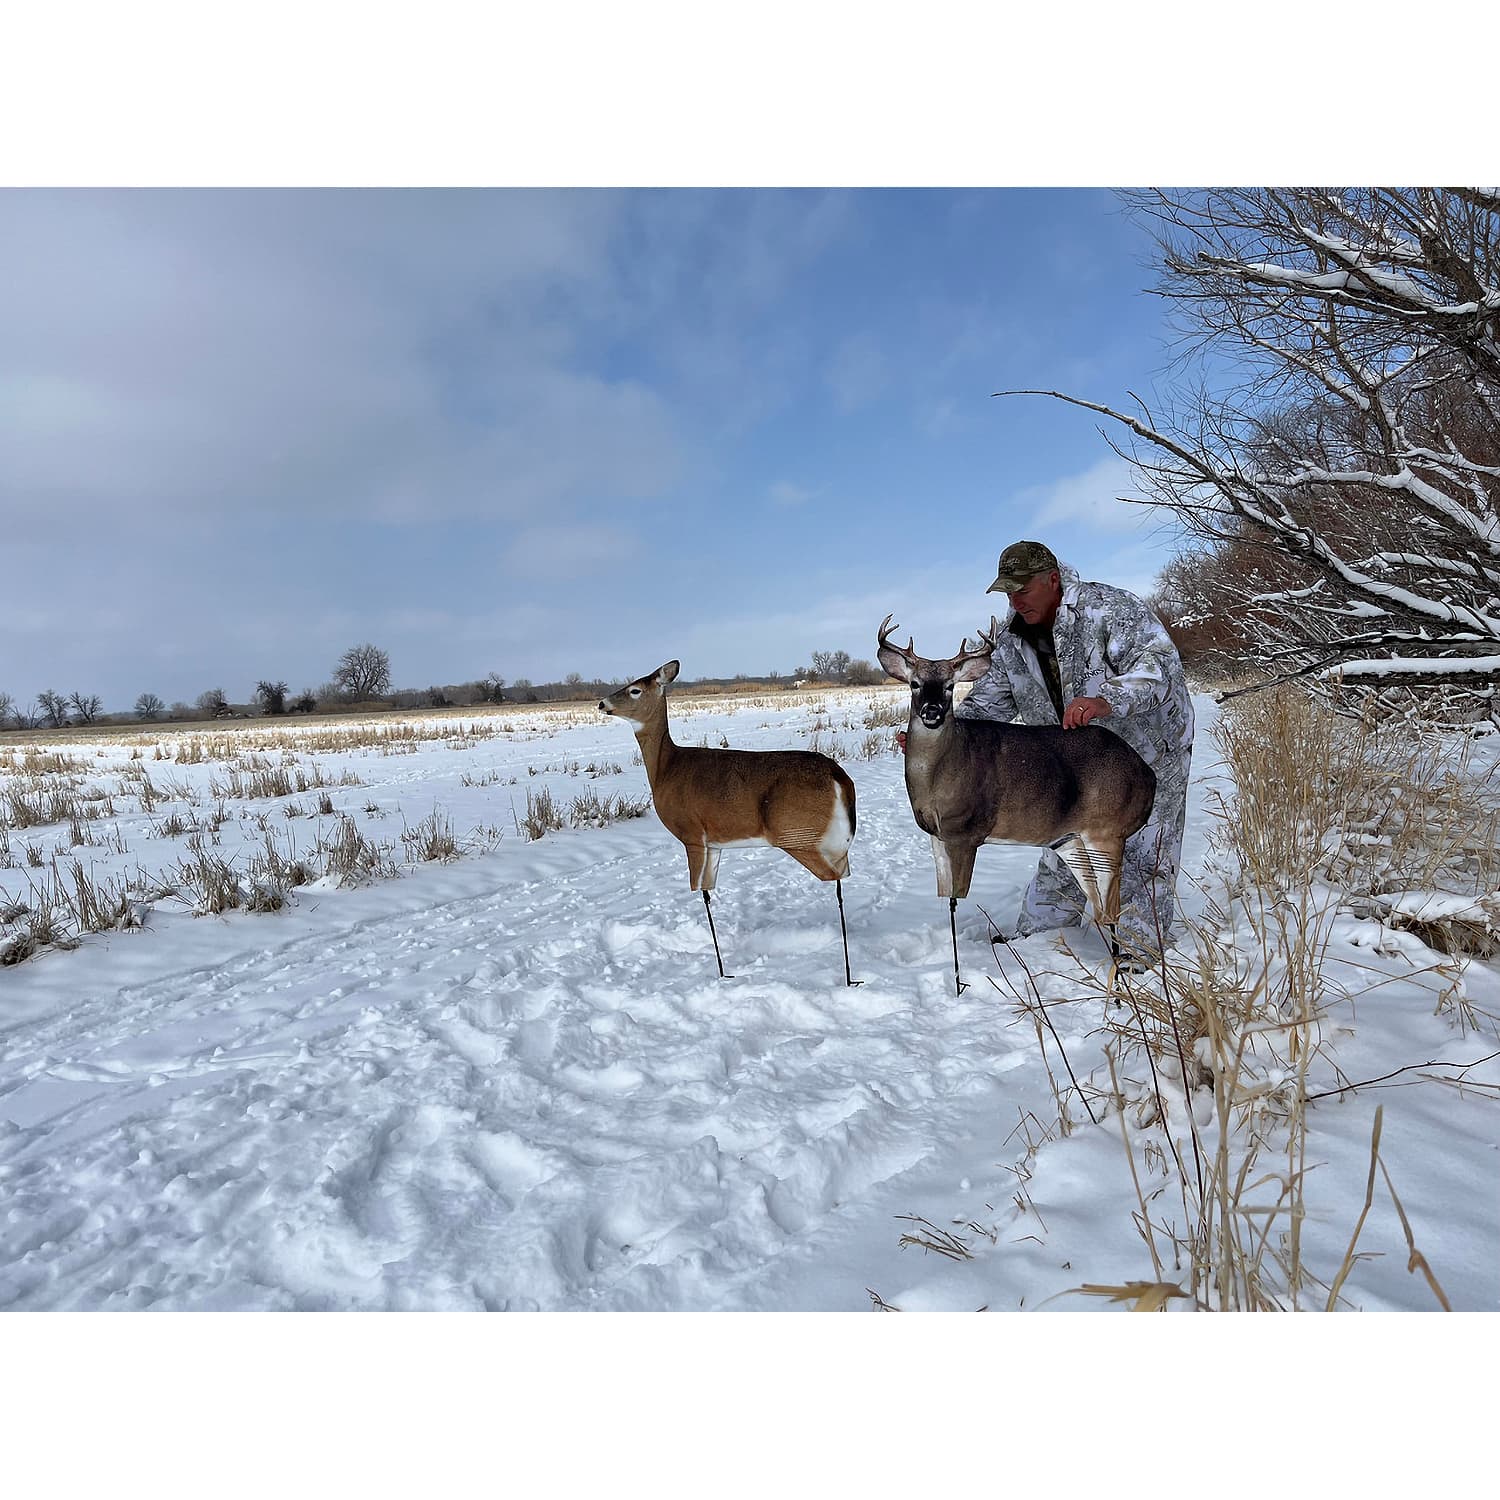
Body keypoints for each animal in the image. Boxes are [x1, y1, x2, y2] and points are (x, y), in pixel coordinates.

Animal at [598, 660, 860, 985]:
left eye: (635, 690)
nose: (602, 703)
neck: (666, 770)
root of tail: (841, 778)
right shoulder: (715, 843)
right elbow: (708, 889)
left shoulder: (692, 833)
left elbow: (699, 891)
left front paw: (721, 971)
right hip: (834, 842)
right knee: (844, 874)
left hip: (797, 834)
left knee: (835, 879)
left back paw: (847, 974)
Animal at [876, 615, 1156, 994]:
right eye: (915, 684)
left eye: (949, 686)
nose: (931, 712)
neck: (939, 775)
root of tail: (1148, 776)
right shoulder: (935, 834)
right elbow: (942, 896)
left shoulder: (966, 832)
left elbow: (957, 898)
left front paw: (959, 977)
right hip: (1070, 841)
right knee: (1099, 908)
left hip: (1108, 831)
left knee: (1113, 909)